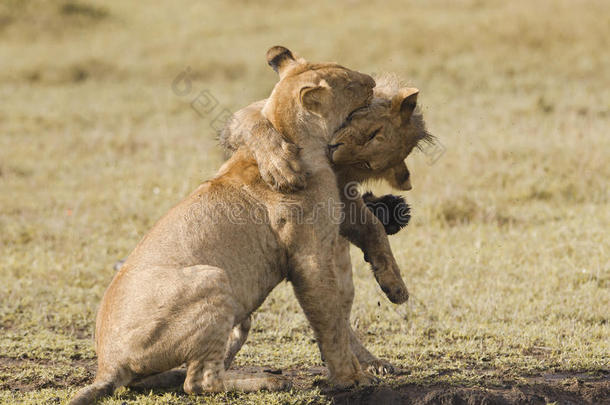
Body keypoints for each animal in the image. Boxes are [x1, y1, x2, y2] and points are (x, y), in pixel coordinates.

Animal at [69, 48, 378, 404]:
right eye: (350, 83)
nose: (372, 82)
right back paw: (267, 381)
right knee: (200, 381)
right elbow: (330, 319)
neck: (296, 135)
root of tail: (106, 364)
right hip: (213, 277)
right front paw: (350, 378)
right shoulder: (309, 258)